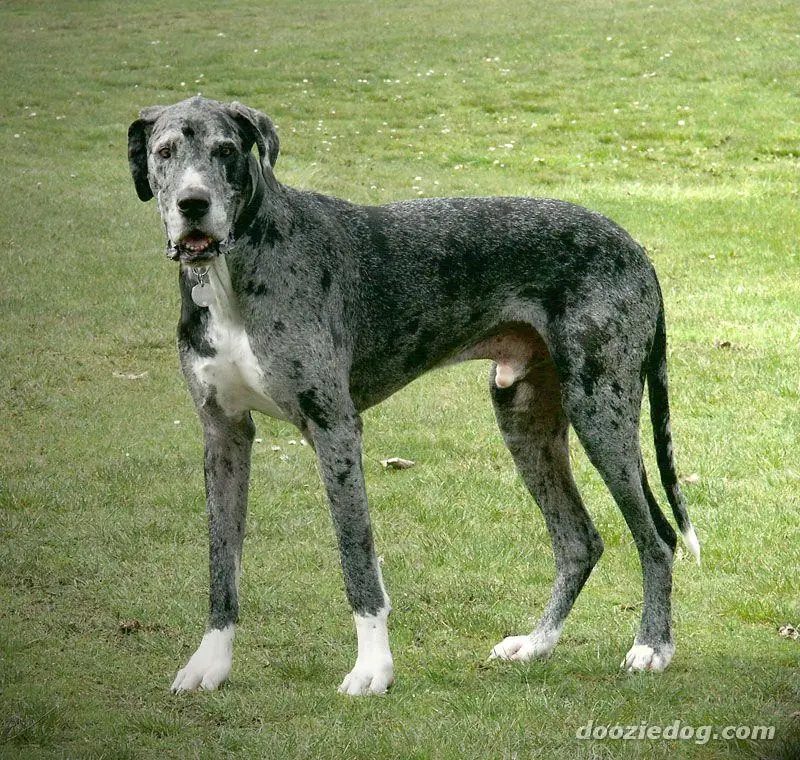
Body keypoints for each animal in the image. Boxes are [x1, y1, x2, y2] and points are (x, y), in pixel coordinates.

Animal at [127, 96, 700, 696]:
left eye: (226, 150)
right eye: (164, 152)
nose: (194, 203)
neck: (235, 271)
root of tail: (635, 247)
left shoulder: (334, 429)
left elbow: (358, 561)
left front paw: (372, 669)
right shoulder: (224, 435)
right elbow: (222, 564)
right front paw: (210, 663)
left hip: (600, 412)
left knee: (658, 536)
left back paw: (652, 647)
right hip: (524, 419)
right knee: (578, 541)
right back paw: (536, 643)